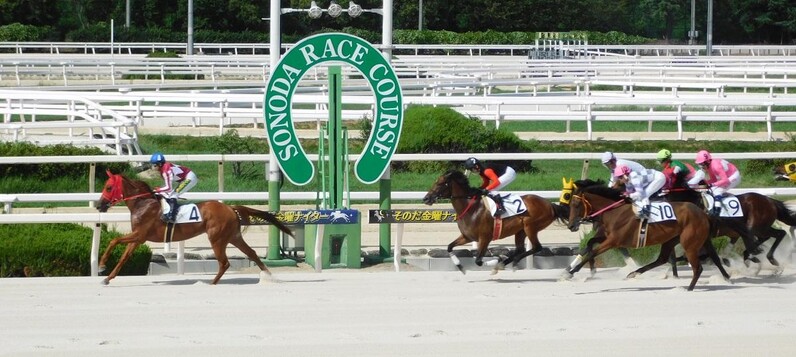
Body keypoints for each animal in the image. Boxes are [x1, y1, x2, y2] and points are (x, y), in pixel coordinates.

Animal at [94, 171, 292, 286]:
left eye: (109, 187)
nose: (99, 204)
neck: (142, 204)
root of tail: (230, 208)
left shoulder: (139, 234)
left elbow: (113, 240)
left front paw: (101, 266)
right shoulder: (138, 238)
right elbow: (123, 258)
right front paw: (107, 277)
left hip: (217, 238)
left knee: (224, 262)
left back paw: (211, 283)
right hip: (234, 236)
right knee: (251, 253)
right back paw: (269, 276)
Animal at [420, 170, 568, 272]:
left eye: (440, 183)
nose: (426, 198)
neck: (471, 208)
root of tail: (550, 205)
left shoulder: (485, 238)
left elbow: (478, 261)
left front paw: (496, 260)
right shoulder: (467, 236)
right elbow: (449, 247)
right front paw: (460, 267)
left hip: (530, 227)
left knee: (537, 247)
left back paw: (508, 262)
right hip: (520, 230)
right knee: (520, 248)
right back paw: (504, 263)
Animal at [564, 182, 728, 290]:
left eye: (576, 205)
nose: (571, 226)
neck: (615, 212)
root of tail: (702, 213)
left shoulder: (613, 241)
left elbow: (593, 252)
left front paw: (571, 272)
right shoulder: (608, 236)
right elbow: (590, 244)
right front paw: (588, 270)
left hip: (689, 242)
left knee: (697, 267)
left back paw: (689, 288)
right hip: (673, 239)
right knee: (664, 259)